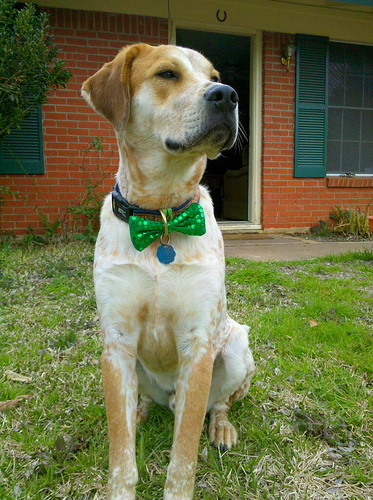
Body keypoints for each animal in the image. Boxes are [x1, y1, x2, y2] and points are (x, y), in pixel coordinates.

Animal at [81, 44, 254, 500]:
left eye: (214, 76)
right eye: (166, 74)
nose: (228, 95)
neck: (160, 217)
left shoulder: (198, 344)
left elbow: (183, 454)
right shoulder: (117, 342)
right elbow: (121, 455)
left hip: (235, 349)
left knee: (219, 404)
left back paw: (222, 428)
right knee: (139, 403)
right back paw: (141, 413)